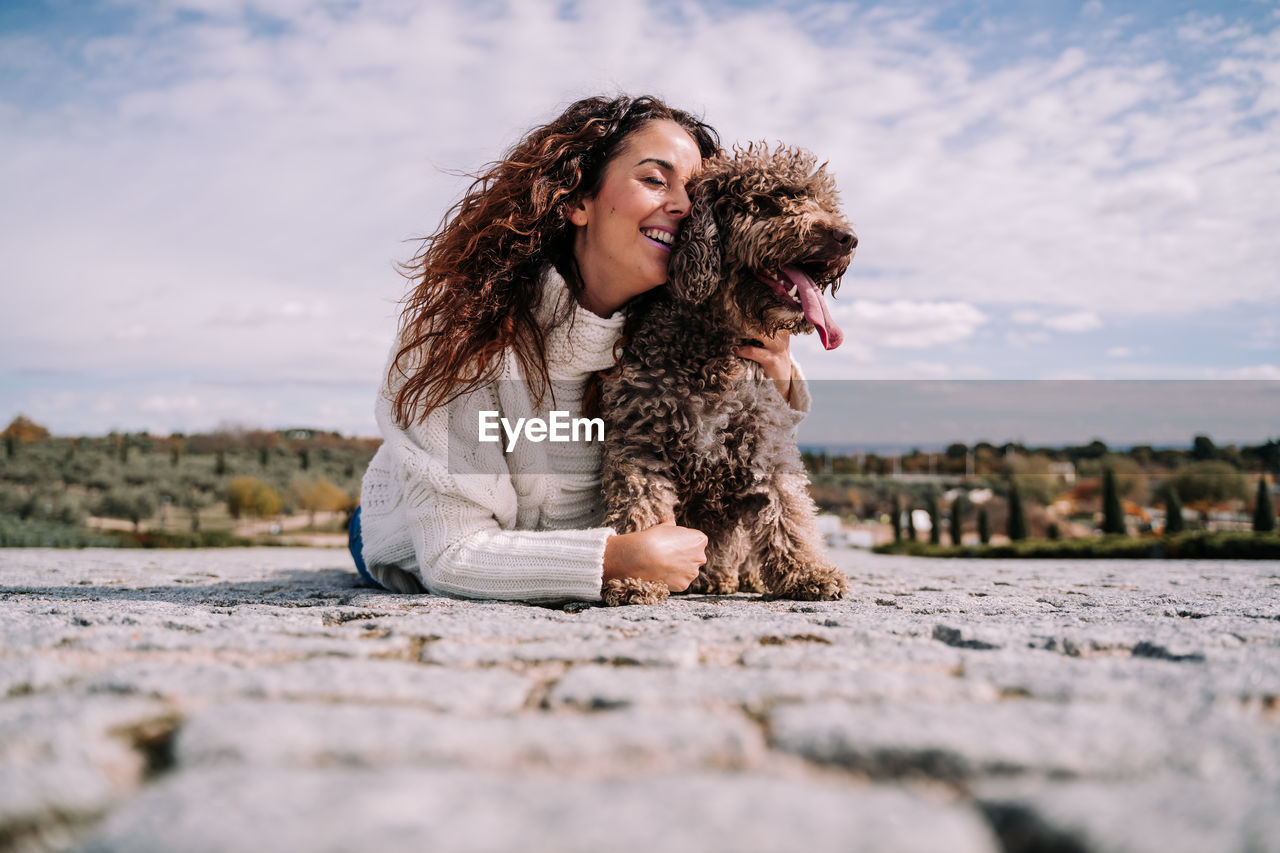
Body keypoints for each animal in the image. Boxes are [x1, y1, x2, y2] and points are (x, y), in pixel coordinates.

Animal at [599, 140, 860, 604]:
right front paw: (636, 578)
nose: (848, 238)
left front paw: (808, 571)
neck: (712, 346)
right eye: (772, 200)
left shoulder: (766, 443)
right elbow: (640, 511)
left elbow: (787, 511)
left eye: (823, 202)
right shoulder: (640, 444)